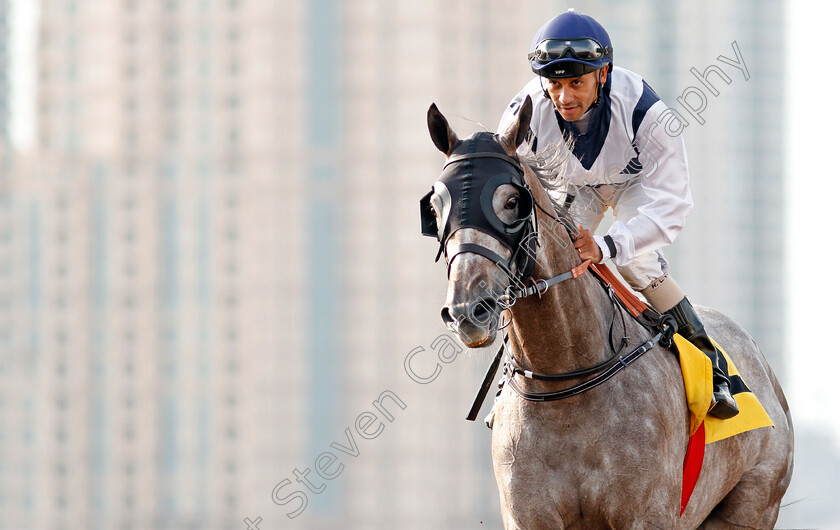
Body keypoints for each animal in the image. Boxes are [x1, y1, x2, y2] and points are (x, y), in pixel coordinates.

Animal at [420, 96, 796, 528]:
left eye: (511, 202)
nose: (468, 310)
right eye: (435, 207)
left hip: (754, 500)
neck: (565, 382)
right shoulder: (527, 515)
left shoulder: (646, 514)